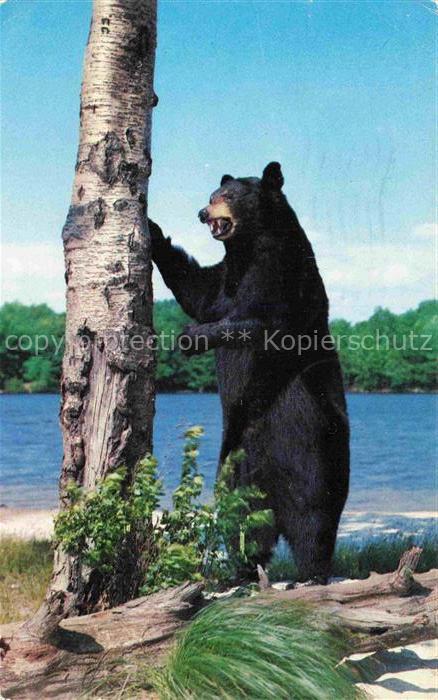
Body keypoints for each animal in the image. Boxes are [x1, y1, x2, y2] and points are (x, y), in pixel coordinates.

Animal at [149, 162, 349, 583]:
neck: (248, 248)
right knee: (240, 519)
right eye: (212, 195)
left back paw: (312, 572)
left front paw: (191, 337)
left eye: (228, 196)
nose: (202, 212)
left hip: (315, 448)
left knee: (315, 518)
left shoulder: (283, 272)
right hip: (235, 463)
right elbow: (198, 291)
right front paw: (152, 228)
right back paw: (241, 571)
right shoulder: (227, 276)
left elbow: (263, 322)